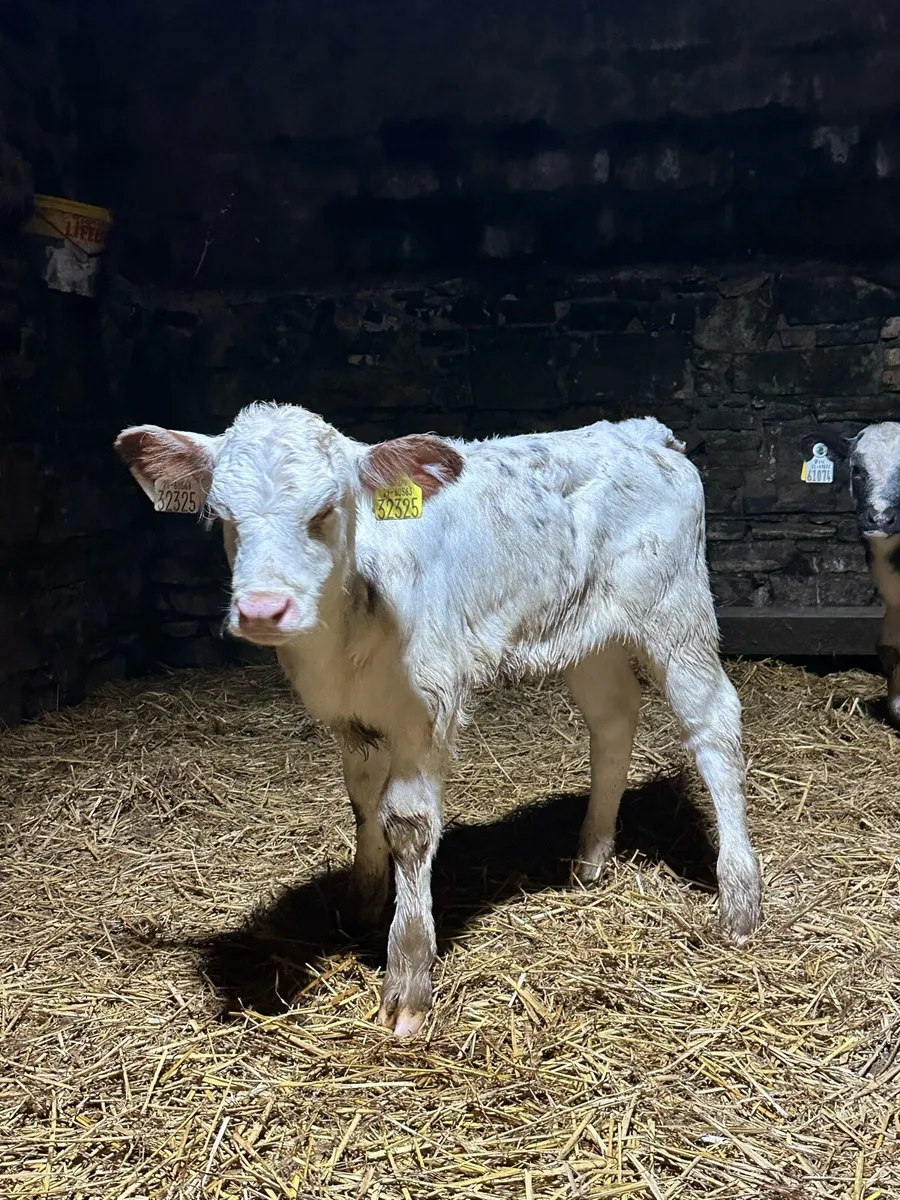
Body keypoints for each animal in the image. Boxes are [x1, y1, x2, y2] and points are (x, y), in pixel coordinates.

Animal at [115, 403, 762, 1036]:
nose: (261, 609)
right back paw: (590, 858)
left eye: (326, 510)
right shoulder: (351, 718)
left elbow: (407, 823)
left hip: (676, 614)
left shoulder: (426, 705)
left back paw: (739, 901)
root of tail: (642, 432)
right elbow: (362, 802)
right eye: (224, 516)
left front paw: (407, 981)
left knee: (713, 723)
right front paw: (362, 904)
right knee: (612, 719)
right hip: (588, 636)